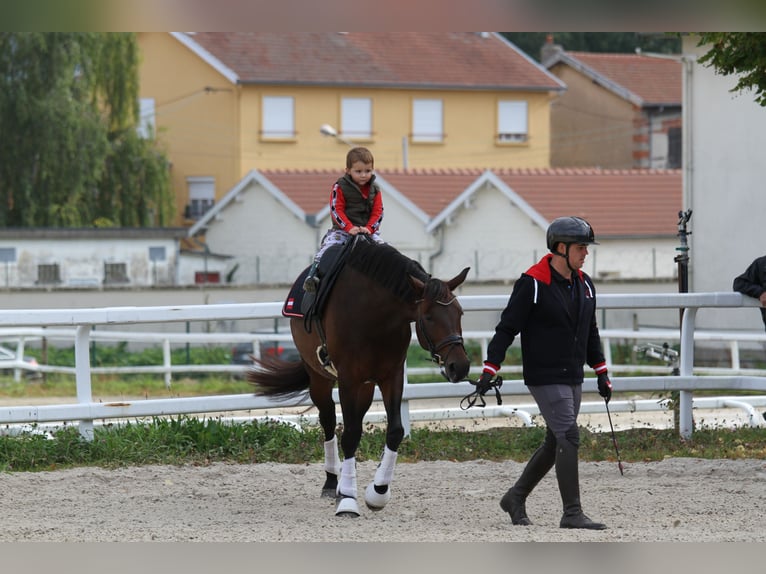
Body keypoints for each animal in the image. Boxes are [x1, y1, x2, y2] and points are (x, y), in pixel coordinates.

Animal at [249, 238, 472, 516]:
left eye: (460, 313)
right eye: (429, 317)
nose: (459, 366)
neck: (375, 315)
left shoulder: (391, 377)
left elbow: (394, 431)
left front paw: (378, 492)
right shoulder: (348, 379)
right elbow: (349, 434)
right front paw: (347, 499)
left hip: (365, 387)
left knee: (354, 420)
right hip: (320, 380)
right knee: (329, 422)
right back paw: (333, 482)